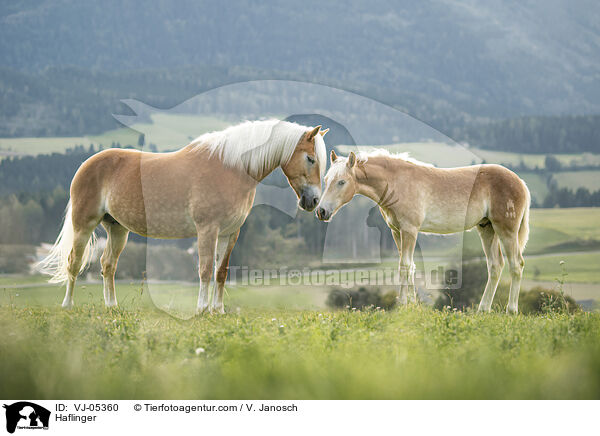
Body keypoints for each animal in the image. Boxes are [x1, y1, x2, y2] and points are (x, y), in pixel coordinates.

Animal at [37, 119, 328, 314]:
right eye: (310, 159)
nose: (314, 202)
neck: (230, 168)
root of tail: (87, 164)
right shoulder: (207, 229)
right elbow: (204, 269)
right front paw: (201, 310)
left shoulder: (230, 233)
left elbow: (221, 271)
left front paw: (218, 310)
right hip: (83, 225)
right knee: (74, 263)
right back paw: (68, 305)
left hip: (118, 229)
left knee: (107, 265)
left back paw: (112, 306)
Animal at [316, 150, 532, 314]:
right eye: (326, 179)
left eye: (341, 182)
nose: (321, 211)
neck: (396, 182)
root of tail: (520, 181)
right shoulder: (397, 232)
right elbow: (410, 266)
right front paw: (413, 305)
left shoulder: (409, 230)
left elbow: (404, 266)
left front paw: (402, 305)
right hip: (487, 229)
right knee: (495, 266)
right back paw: (483, 310)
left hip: (506, 231)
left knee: (516, 265)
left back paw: (511, 311)